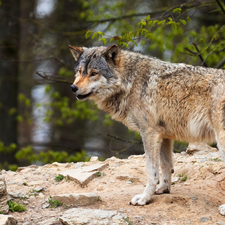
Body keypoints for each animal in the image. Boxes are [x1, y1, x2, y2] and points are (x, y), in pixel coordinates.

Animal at [68, 44, 225, 206]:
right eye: (80, 71)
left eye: (94, 73)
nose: (73, 87)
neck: (130, 82)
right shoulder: (164, 136)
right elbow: (166, 166)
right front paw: (163, 189)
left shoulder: (149, 133)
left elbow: (152, 171)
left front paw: (144, 198)